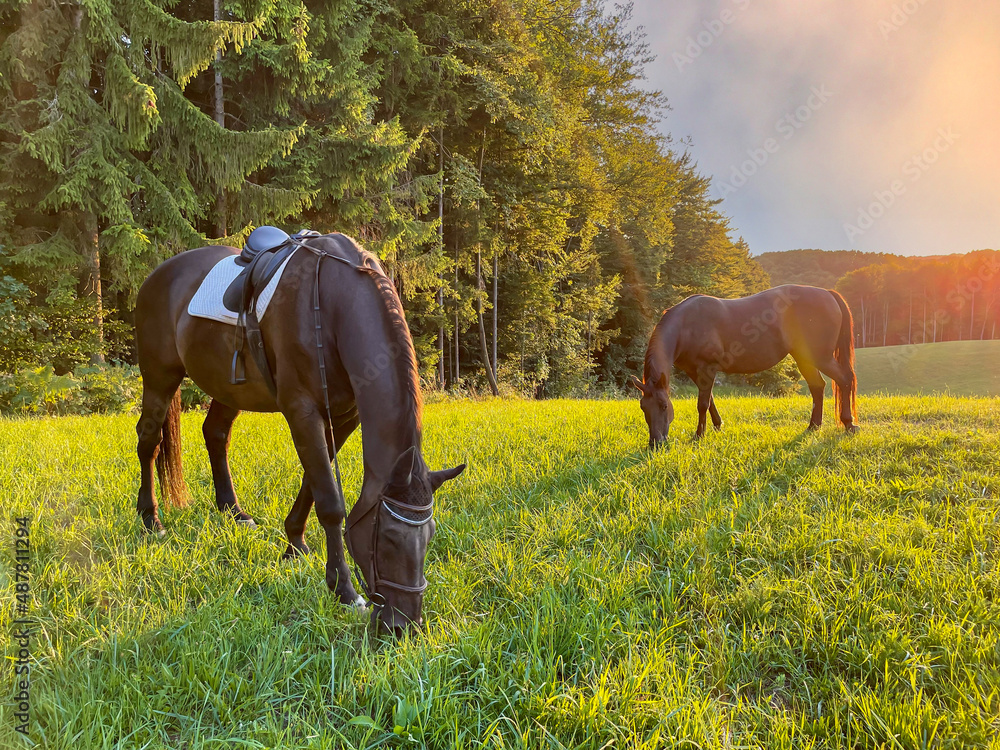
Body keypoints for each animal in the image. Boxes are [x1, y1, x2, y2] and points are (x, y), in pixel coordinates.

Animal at [135, 234, 466, 636]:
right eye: (386, 537)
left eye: (430, 535)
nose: (405, 625)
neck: (332, 306)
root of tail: (158, 273)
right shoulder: (302, 411)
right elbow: (331, 501)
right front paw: (343, 589)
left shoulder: (343, 416)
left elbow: (313, 483)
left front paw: (294, 544)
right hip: (159, 376)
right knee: (148, 441)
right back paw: (151, 519)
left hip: (228, 386)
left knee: (215, 434)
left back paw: (234, 512)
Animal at [632, 282, 860, 446]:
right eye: (643, 407)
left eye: (663, 406)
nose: (655, 443)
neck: (687, 325)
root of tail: (828, 293)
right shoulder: (695, 372)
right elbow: (710, 399)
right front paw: (717, 425)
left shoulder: (707, 368)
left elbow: (702, 403)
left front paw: (699, 435)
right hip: (804, 358)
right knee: (818, 387)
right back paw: (813, 426)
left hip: (820, 357)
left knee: (844, 379)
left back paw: (848, 423)